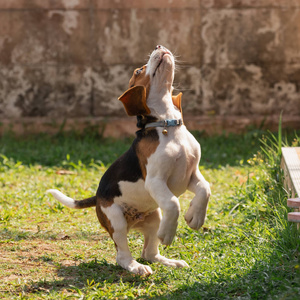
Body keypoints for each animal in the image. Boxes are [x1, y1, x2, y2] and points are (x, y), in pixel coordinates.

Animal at [47, 45, 211, 276]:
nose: (159, 46)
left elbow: (205, 189)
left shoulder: (191, 174)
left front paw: (195, 218)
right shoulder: (155, 180)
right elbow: (173, 203)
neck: (167, 123)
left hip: (154, 217)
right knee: (122, 256)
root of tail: (98, 198)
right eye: (138, 71)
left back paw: (169, 262)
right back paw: (136, 267)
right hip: (116, 220)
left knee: (149, 253)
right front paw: (169, 233)